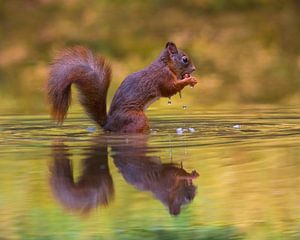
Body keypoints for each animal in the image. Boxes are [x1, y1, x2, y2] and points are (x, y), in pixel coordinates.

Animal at [47, 42, 197, 132]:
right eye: (185, 59)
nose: (194, 69)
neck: (165, 64)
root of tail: (108, 124)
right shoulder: (162, 77)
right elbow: (169, 89)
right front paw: (189, 80)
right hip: (136, 119)